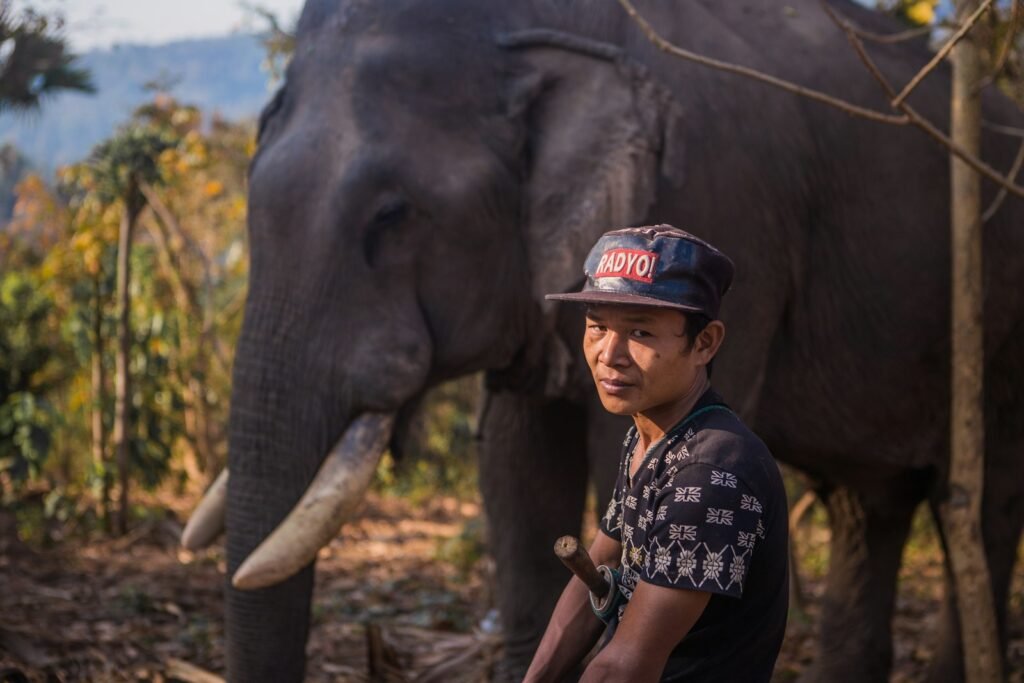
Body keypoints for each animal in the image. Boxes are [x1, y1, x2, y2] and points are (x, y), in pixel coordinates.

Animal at [181, 0, 1024, 680]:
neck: (534, 31)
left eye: (391, 216)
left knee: (979, 508)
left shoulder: (723, 201)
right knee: (868, 507)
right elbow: (518, 470)